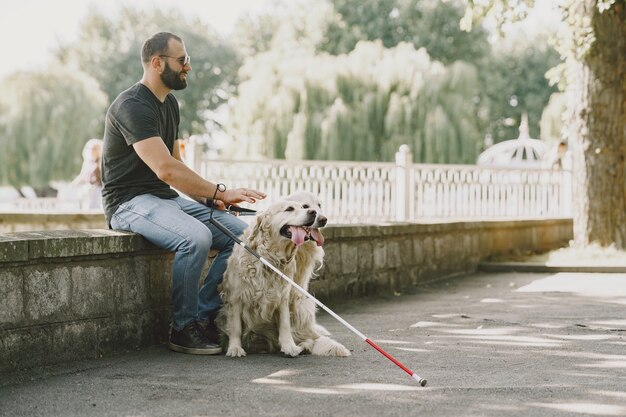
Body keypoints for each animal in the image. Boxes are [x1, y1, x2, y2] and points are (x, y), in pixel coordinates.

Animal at [217, 192, 348, 358]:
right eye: (290, 208)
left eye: (319, 205)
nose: (319, 216)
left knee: (309, 335)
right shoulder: (236, 297)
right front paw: (234, 348)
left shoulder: (284, 297)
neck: (270, 257)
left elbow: (285, 325)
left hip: (303, 305)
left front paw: (289, 346)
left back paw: (305, 345)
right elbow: (235, 326)